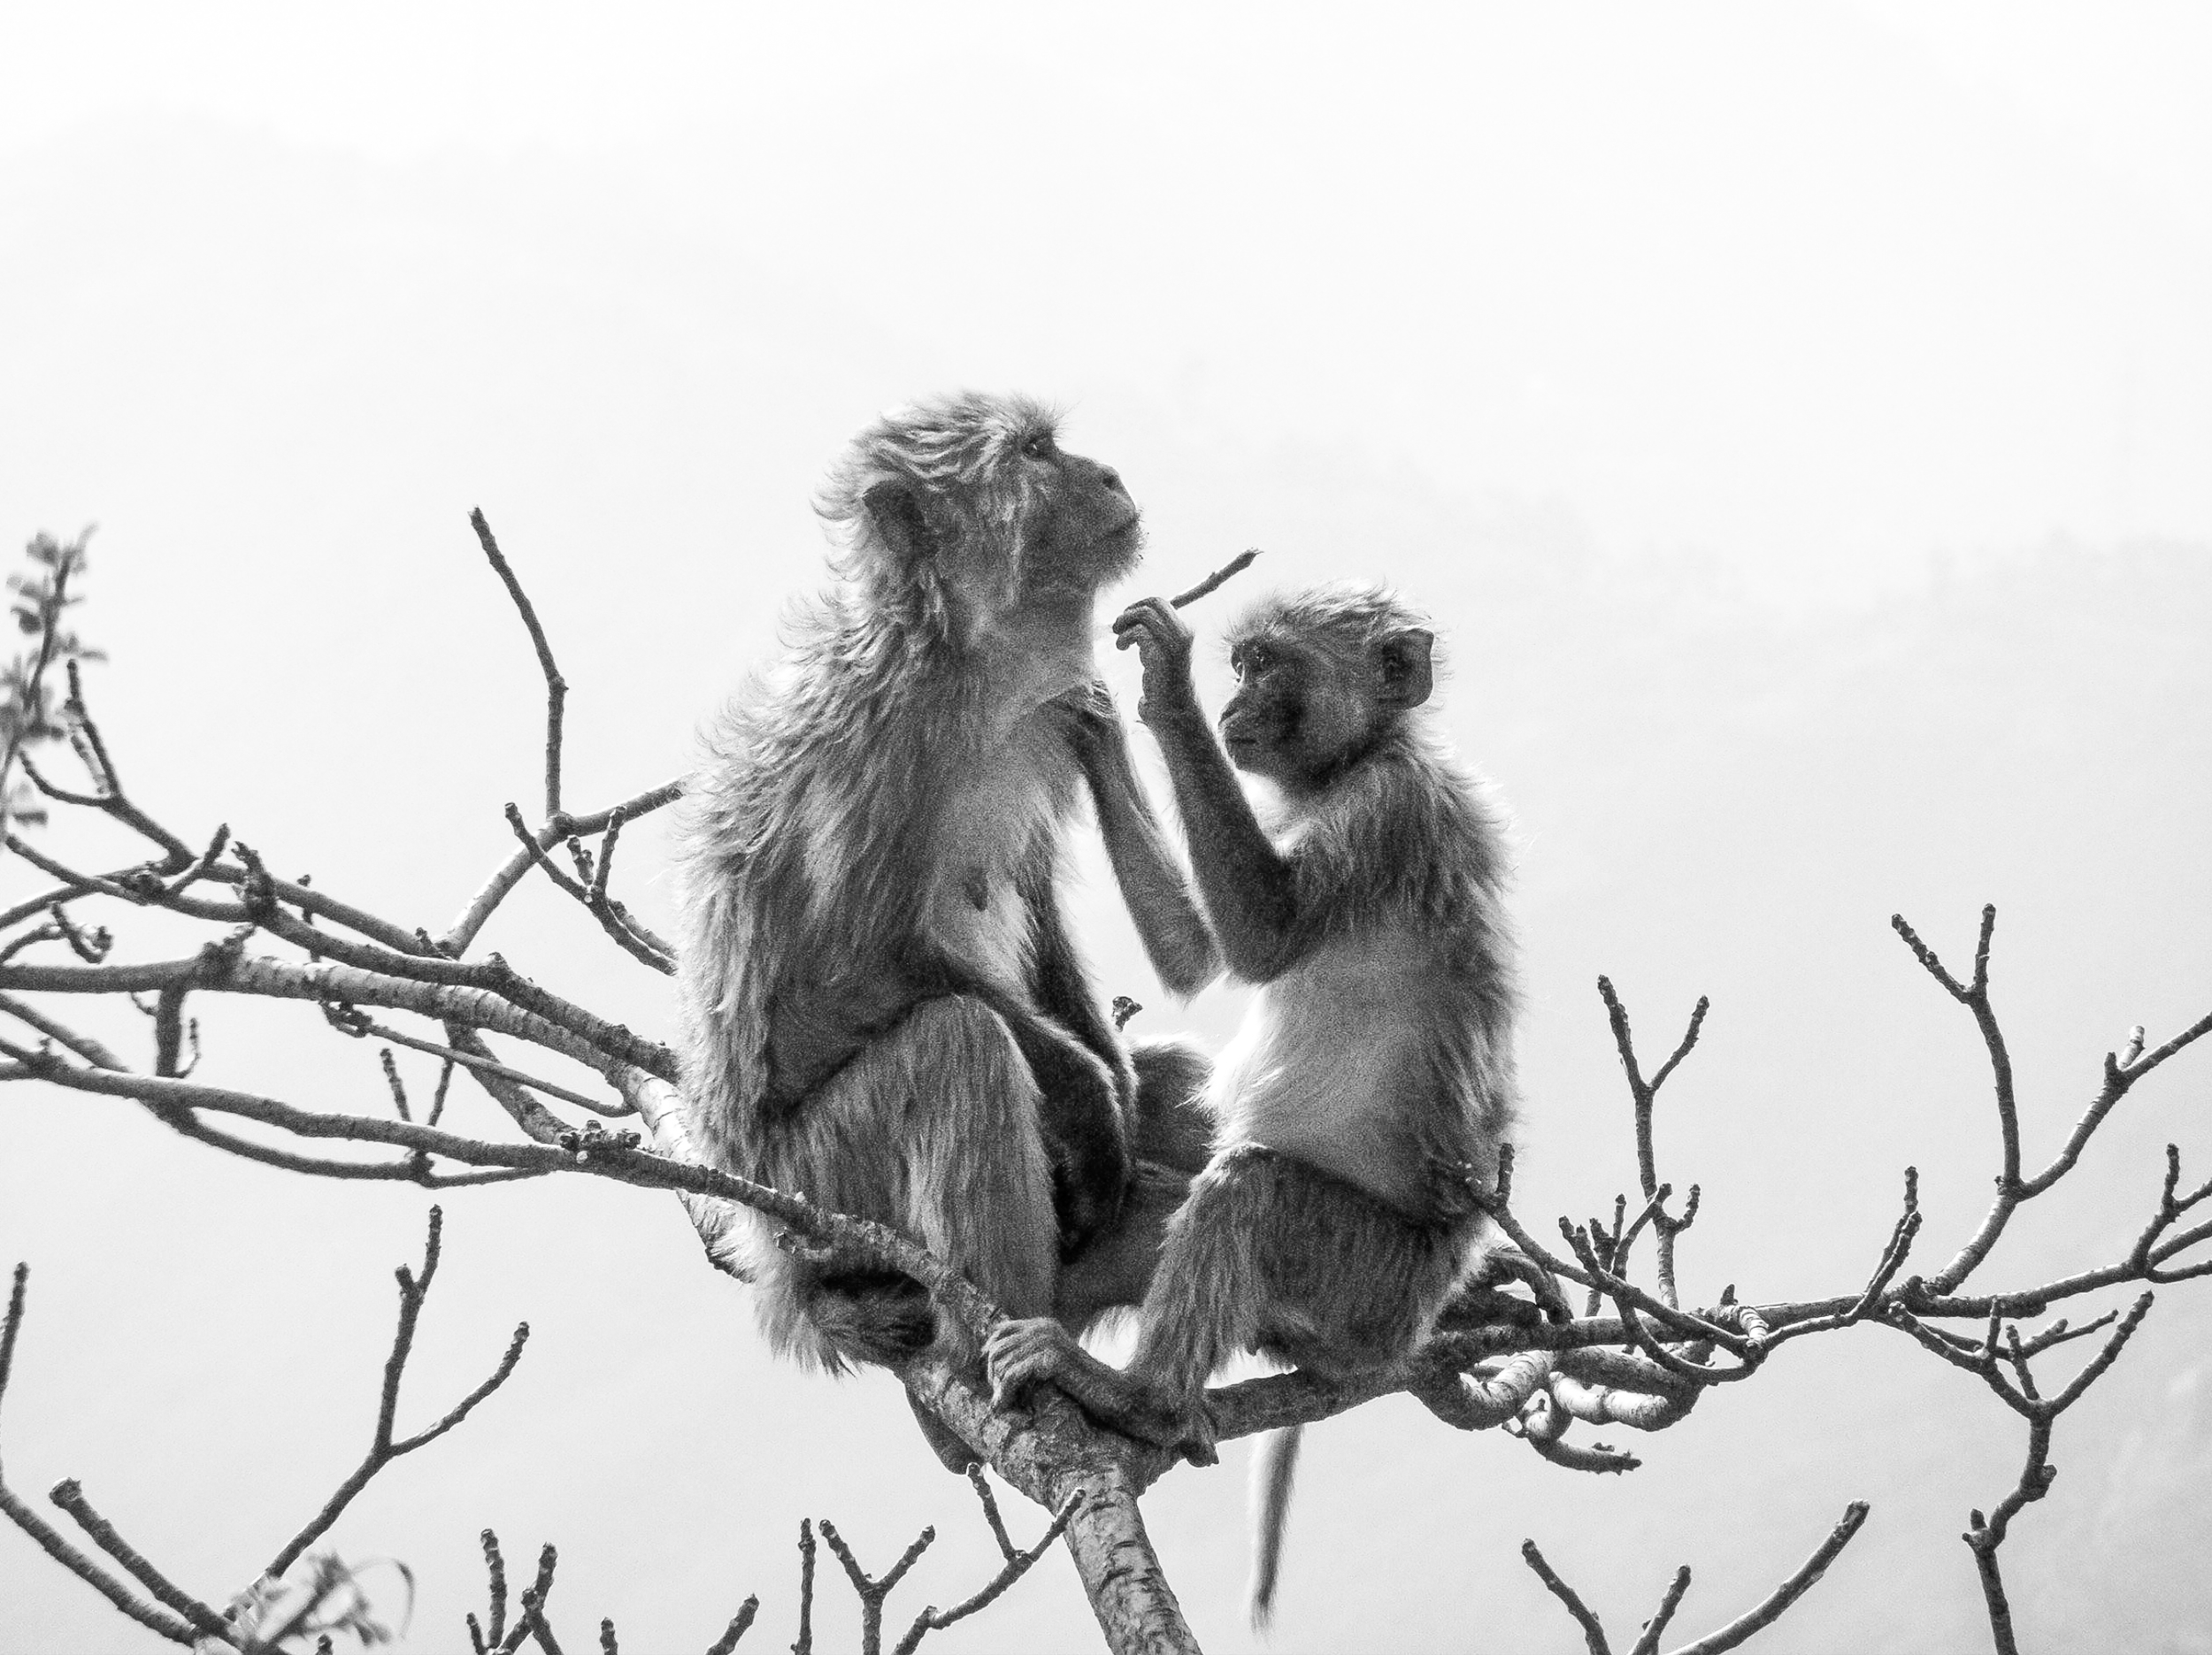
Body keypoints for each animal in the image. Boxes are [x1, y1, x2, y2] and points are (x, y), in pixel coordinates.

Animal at [674, 395, 1218, 1453]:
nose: (1109, 474)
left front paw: (1116, 1087)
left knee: (1166, 1081)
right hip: (819, 1194)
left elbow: (1033, 906)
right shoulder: (873, 744)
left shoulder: (1044, 718)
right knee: (958, 1046)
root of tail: (786, 1277)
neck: (964, 660)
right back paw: (1003, 1360)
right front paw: (1091, 1100)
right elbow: (857, 963)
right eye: (1038, 453)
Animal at [984, 581, 1518, 1627]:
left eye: (1265, 665)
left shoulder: (1388, 809)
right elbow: (1202, 957)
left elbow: (1264, 936)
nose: (1230, 700)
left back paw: (1138, 1397)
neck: (1348, 767)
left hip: (1368, 1286)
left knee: (1250, 1191)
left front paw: (1166, 677)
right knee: (1158, 1102)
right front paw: (1102, 722)